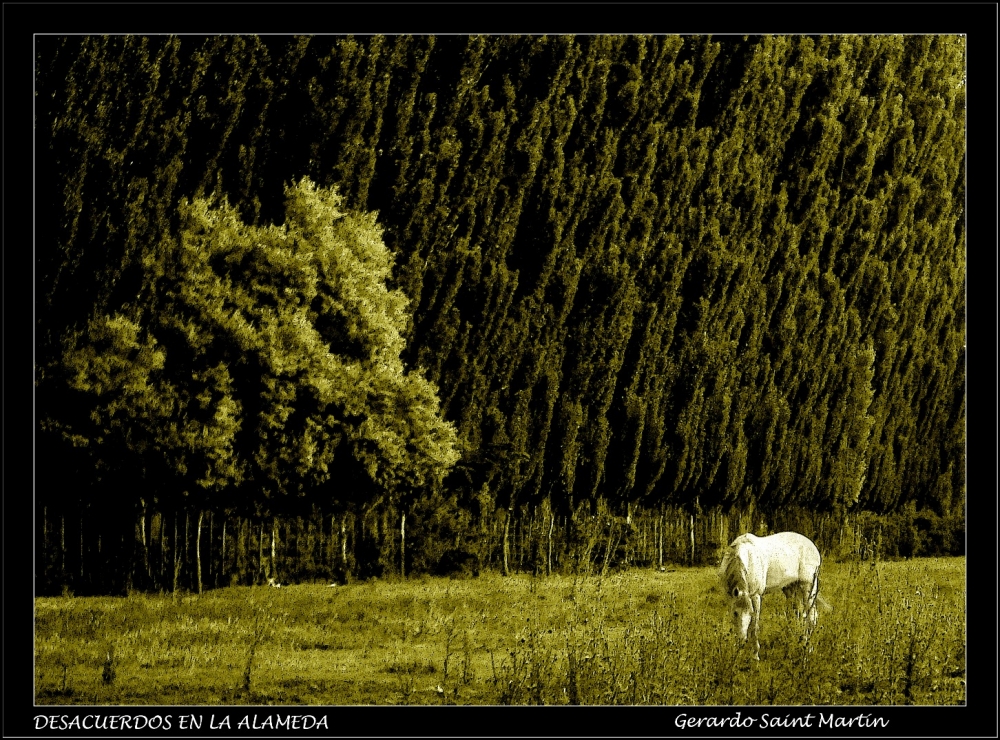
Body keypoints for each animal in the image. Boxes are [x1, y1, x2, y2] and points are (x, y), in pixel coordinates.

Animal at [720, 532, 820, 660]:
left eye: (751, 613)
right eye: (735, 613)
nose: (742, 640)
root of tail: (813, 546)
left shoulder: (756, 596)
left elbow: (754, 627)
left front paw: (755, 655)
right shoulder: (730, 598)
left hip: (809, 587)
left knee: (811, 615)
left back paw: (807, 648)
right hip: (791, 588)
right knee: (797, 614)